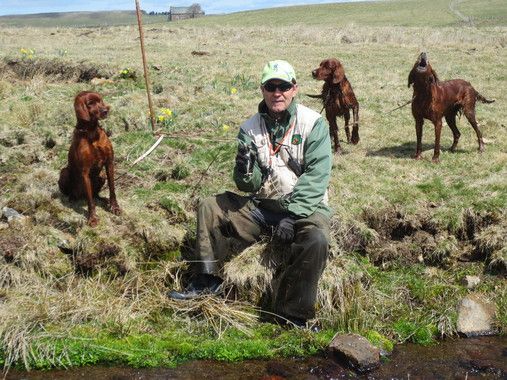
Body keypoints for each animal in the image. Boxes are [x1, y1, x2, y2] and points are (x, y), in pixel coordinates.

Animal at [58, 91, 121, 226]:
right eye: (90, 103)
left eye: (100, 100)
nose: (106, 110)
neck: (92, 132)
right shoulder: (85, 171)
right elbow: (90, 201)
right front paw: (92, 218)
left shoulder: (109, 163)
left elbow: (112, 188)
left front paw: (115, 207)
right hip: (64, 172)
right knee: (75, 193)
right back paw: (72, 198)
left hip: (101, 175)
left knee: (95, 194)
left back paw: (103, 199)